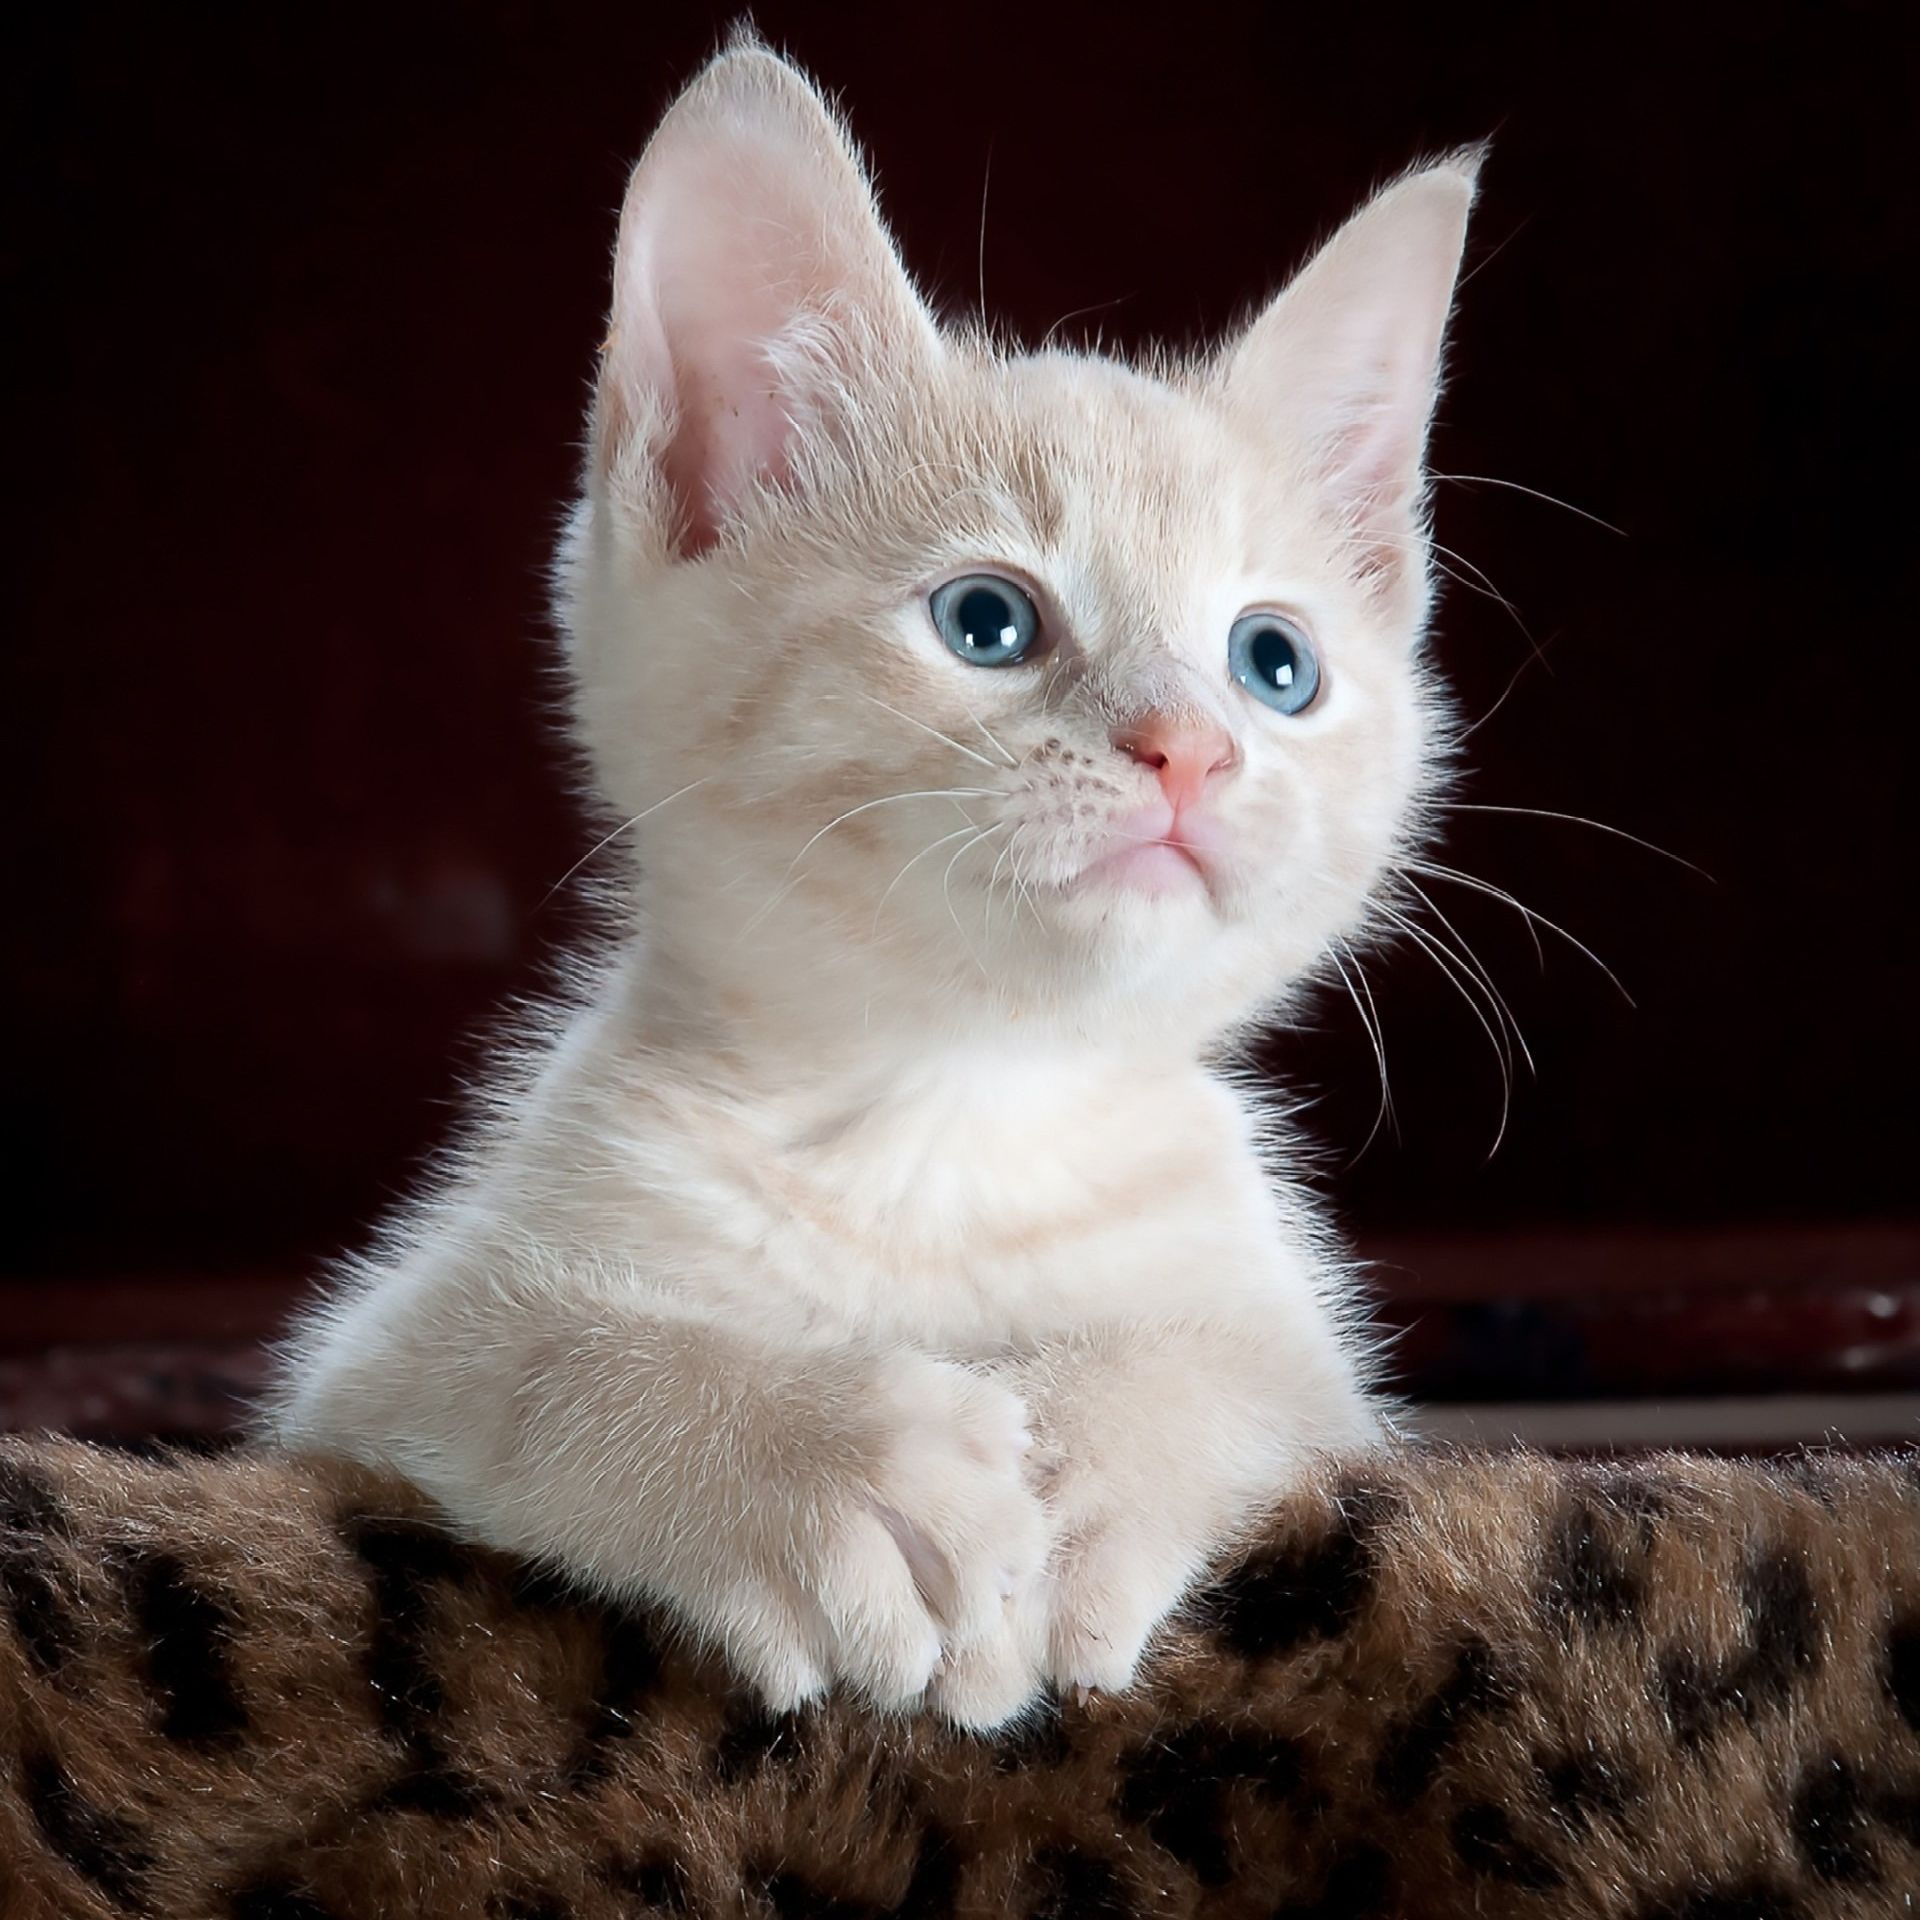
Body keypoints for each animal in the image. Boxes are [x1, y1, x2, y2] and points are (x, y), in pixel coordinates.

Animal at [266, 41, 1466, 1728]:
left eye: (1274, 663)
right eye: (987, 622)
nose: (1191, 750)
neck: (950, 1111)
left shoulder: (1317, 1374)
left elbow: (1235, 1372)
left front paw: (1093, 1460)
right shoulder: (368, 1372)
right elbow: (543, 1367)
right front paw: (814, 1464)